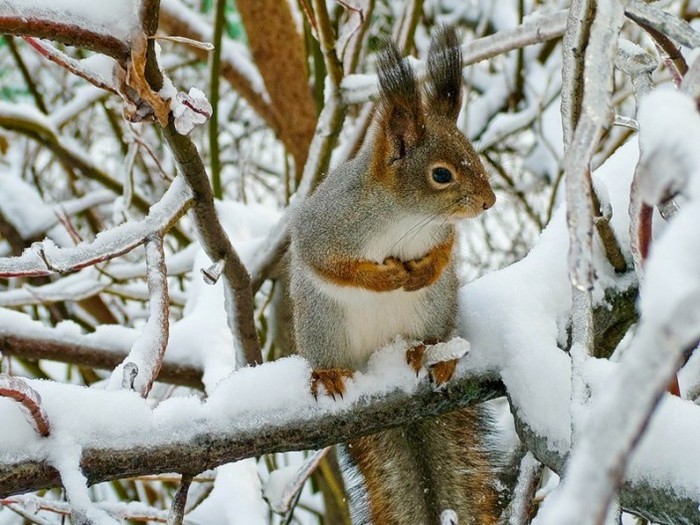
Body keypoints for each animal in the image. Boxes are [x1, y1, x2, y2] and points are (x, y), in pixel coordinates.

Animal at [288, 25, 498, 524]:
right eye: (441, 174)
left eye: (473, 154)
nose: (489, 202)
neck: (405, 216)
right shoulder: (325, 228)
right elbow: (330, 263)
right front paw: (382, 279)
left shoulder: (440, 232)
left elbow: (445, 250)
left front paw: (423, 269)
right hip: (323, 325)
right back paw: (329, 375)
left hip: (435, 309)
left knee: (428, 335)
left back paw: (431, 353)